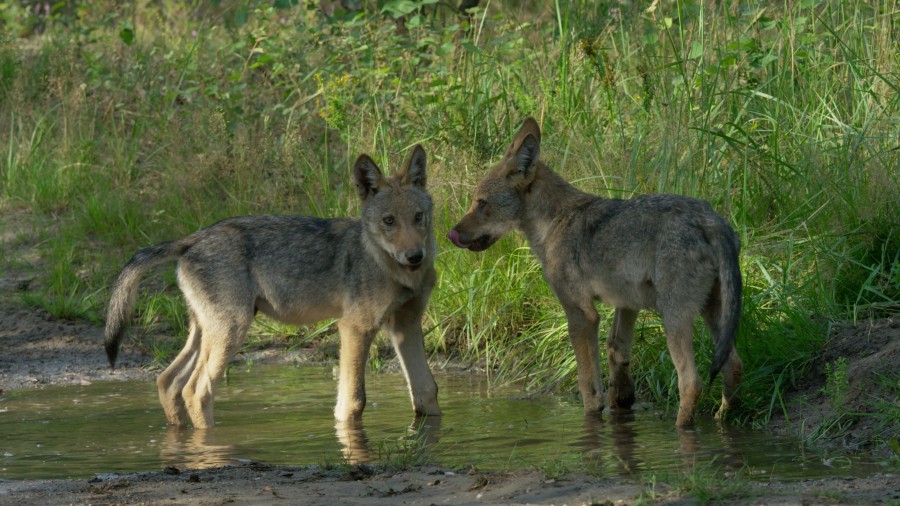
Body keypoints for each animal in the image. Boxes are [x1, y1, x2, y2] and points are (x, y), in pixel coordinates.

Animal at [105, 145, 442, 426]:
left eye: (418, 217)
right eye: (389, 221)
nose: (415, 256)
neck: (393, 268)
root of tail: (193, 238)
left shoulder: (405, 325)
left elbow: (427, 391)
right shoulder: (355, 327)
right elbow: (354, 402)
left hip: (206, 333)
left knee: (167, 381)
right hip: (231, 332)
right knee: (196, 391)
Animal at [446, 119, 740, 426]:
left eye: (481, 203)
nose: (450, 234)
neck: (553, 223)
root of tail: (711, 220)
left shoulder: (581, 314)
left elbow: (588, 386)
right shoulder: (627, 304)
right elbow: (616, 353)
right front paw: (621, 401)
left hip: (674, 318)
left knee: (691, 382)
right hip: (714, 316)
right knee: (734, 366)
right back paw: (722, 419)